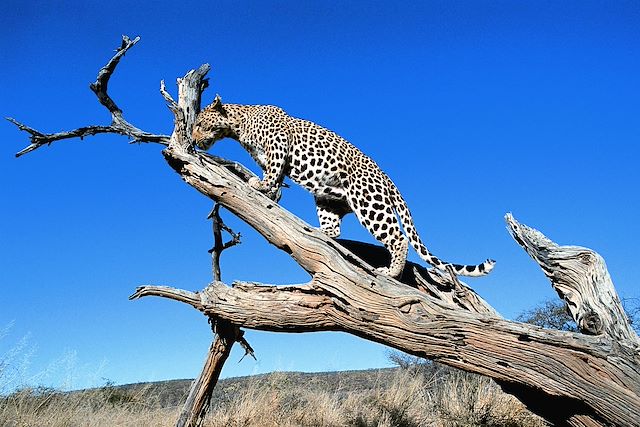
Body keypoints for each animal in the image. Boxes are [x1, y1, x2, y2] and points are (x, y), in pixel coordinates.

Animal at [192, 95, 498, 280]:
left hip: (369, 203)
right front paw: (270, 192)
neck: (237, 126)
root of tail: (389, 180)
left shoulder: (279, 145)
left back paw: (392, 272)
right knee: (334, 230)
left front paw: (260, 185)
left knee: (398, 237)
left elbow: (272, 173)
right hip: (328, 199)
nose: (193, 139)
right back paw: (317, 231)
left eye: (200, 123)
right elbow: (275, 180)